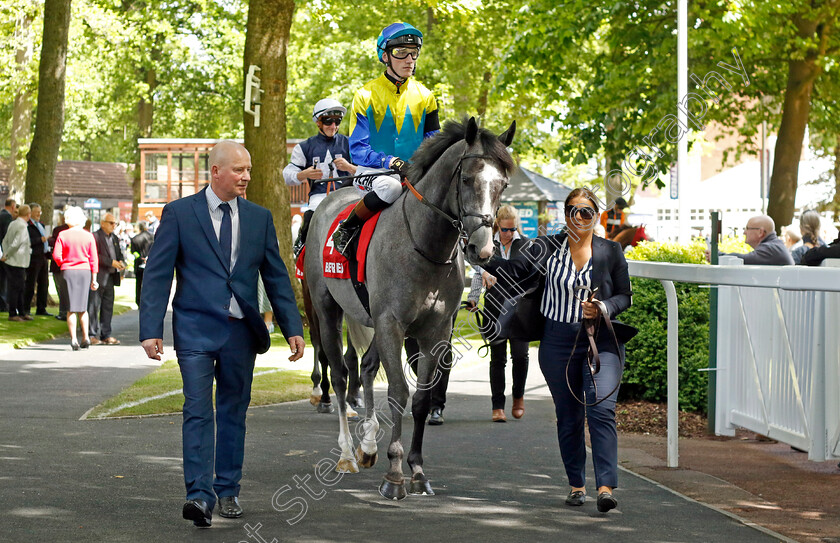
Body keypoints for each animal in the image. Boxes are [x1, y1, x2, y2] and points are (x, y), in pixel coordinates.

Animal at [304, 117, 512, 500]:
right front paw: (395, 473)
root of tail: (331, 198)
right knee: (339, 374)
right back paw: (347, 453)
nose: (482, 249)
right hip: (327, 310)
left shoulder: (435, 330)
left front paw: (416, 470)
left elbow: (421, 399)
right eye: (466, 179)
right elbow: (399, 392)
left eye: (502, 184)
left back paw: (368, 446)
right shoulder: (392, 323)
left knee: (367, 367)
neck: (424, 246)